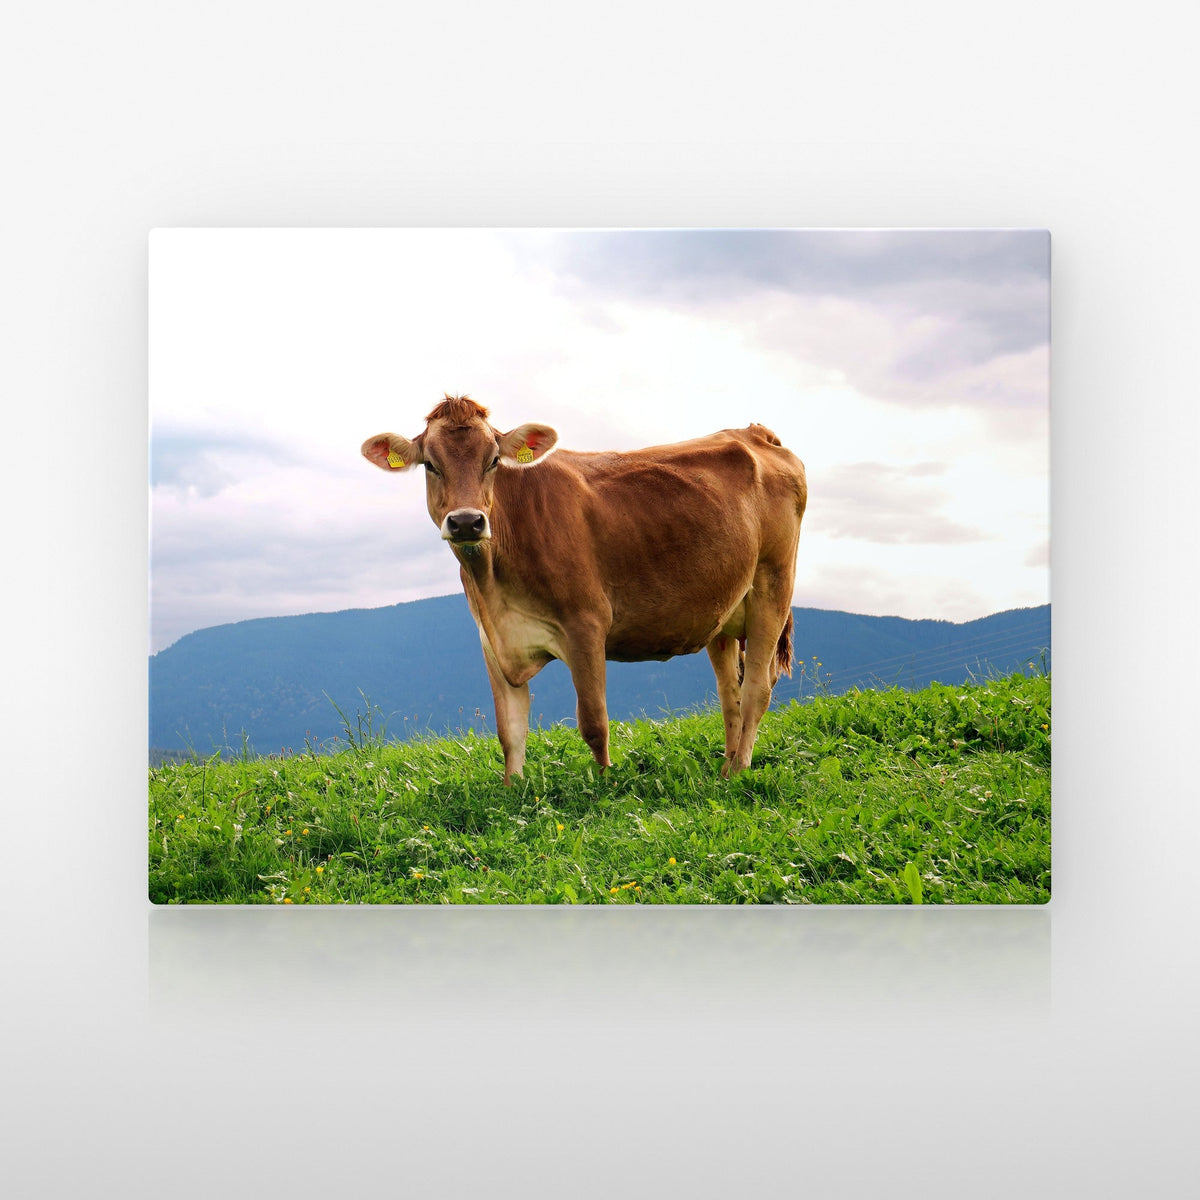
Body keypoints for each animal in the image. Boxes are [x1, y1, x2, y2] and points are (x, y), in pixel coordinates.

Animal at [362, 395, 807, 784]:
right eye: (430, 465)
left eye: (493, 461)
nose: (467, 522)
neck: (491, 582)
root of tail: (756, 432)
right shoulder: (493, 639)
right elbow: (510, 731)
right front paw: (512, 789)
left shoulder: (586, 624)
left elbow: (594, 721)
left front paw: (606, 784)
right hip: (723, 610)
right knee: (730, 694)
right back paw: (727, 764)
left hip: (773, 583)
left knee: (756, 689)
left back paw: (739, 770)